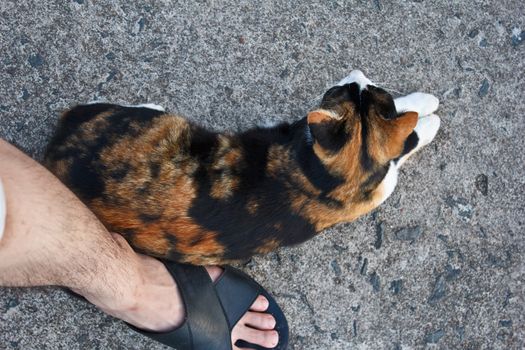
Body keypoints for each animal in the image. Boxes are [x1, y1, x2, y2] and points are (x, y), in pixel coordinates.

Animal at [44, 70, 438, 266]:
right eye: (347, 87)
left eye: (361, 86)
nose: (355, 71)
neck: (328, 180)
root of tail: (57, 146)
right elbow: (408, 133)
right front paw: (428, 108)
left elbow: (406, 137)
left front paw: (426, 112)